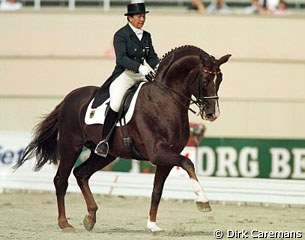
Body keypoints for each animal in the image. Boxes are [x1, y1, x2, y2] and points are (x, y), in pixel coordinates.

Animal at [13, 45, 229, 232]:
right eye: (204, 81)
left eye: (219, 80)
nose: (213, 114)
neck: (165, 99)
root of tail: (69, 98)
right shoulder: (158, 153)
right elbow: (188, 163)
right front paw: (203, 201)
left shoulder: (166, 158)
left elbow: (157, 191)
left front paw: (152, 225)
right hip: (70, 146)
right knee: (61, 180)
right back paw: (64, 223)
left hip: (105, 154)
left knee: (81, 174)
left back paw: (90, 218)